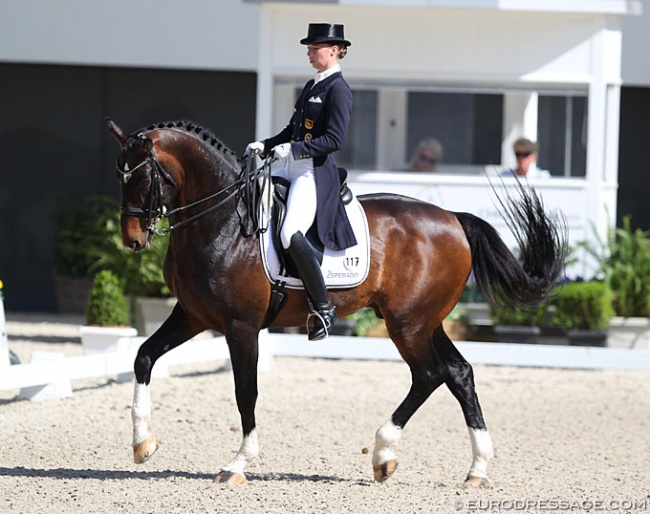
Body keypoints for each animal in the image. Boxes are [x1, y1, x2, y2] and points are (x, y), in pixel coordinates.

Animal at [104, 118, 564, 486]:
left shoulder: (241, 326)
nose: (132, 240)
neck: (224, 223)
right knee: (459, 374)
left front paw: (237, 463)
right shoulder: (192, 315)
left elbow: (245, 391)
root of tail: (454, 219)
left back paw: (384, 451)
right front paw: (143, 443)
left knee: (430, 374)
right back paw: (474, 470)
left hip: (408, 324)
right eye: (118, 176)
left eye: (142, 178)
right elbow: (144, 356)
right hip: (425, 322)